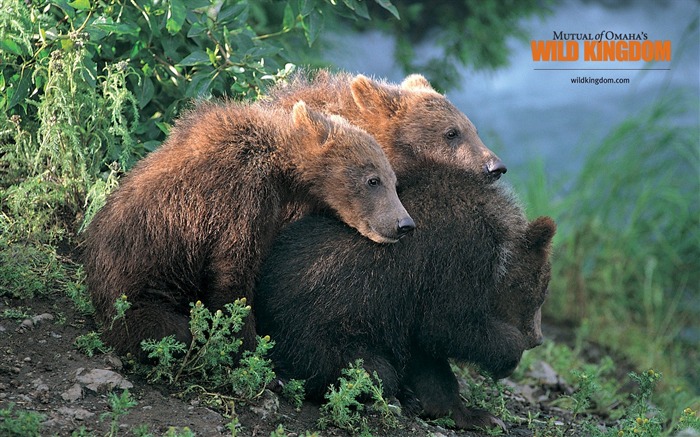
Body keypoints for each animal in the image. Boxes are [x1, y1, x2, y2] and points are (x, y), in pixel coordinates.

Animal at [80, 99, 416, 358]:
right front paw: (249, 344)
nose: (404, 224)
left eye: (394, 181)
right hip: (140, 290)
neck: (281, 168)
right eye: (373, 180)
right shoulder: (240, 197)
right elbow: (233, 271)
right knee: (166, 329)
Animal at [254, 163, 556, 430]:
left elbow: (429, 359)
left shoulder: (409, 308)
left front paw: (471, 415)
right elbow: (448, 325)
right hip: (316, 335)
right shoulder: (456, 259)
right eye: (539, 292)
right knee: (371, 369)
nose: (537, 338)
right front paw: (509, 355)